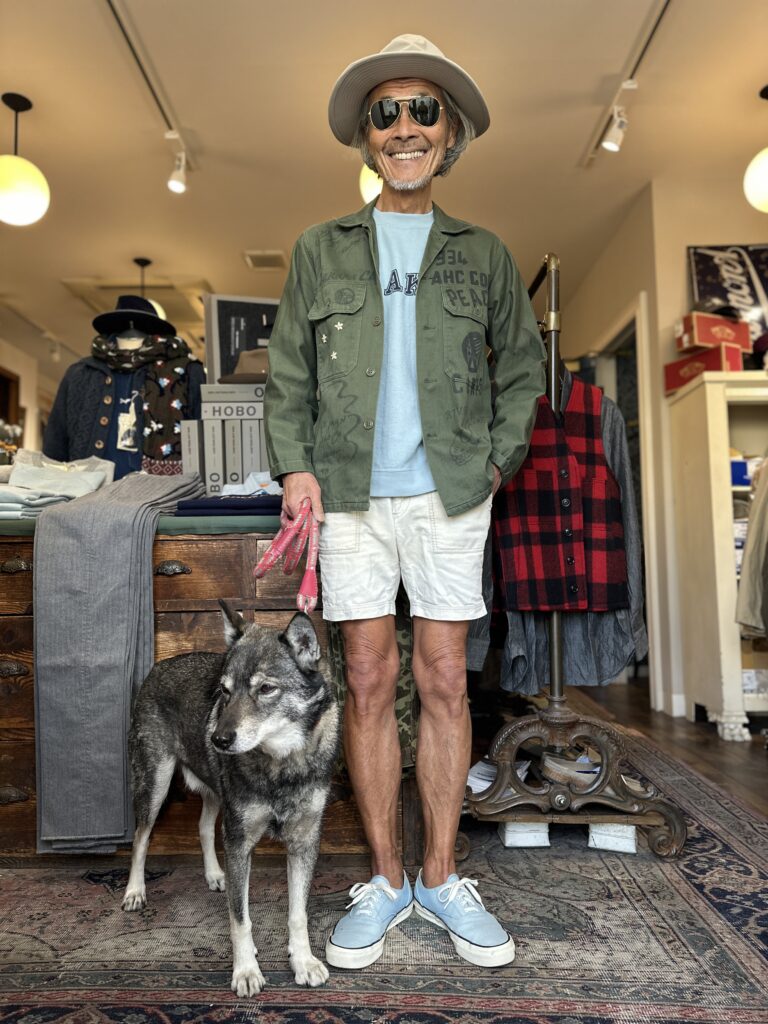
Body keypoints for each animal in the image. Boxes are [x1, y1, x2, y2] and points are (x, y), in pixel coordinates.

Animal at [121, 601, 340, 996]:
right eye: (224, 690)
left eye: (266, 688)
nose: (218, 739)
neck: (281, 764)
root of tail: (158, 666)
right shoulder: (239, 842)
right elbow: (240, 917)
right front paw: (246, 970)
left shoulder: (303, 842)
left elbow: (298, 913)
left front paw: (303, 961)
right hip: (154, 785)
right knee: (140, 838)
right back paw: (134, 891)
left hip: (215, 795)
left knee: (204, 827)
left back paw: (214, 874)